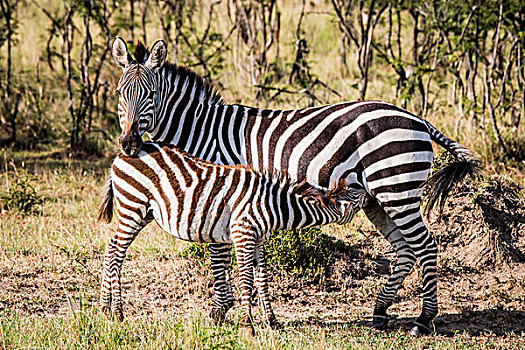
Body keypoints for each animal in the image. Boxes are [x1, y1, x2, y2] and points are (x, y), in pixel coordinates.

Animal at [109, 37, 478, 334]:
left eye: (151, 95)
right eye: (119, 94)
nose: (128, 145)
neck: (204, 131)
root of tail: (417, 119)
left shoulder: (218, 191)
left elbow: (217, 254)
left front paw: (219, 311)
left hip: (398, 189)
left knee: (425, 245)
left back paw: (423, 320)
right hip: (377, 199)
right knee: (405, 249)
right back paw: (379, 311)